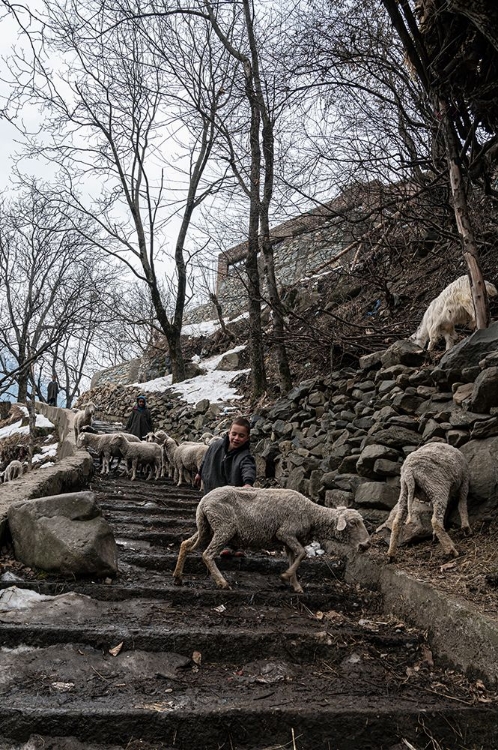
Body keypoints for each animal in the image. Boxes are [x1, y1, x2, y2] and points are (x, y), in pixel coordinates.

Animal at [173, 490, 372, 596]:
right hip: (223, 526)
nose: (366, 545)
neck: (312, 514)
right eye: (353, 523)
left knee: (185, 544)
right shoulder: (286, 532)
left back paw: (178, 576)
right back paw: (222, 582)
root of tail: (203, 502)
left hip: (207, 527)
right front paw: (285, 577)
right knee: (207, 554)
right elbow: (302, 554)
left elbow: (295, 558)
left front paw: (296, 585)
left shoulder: (289, 541)